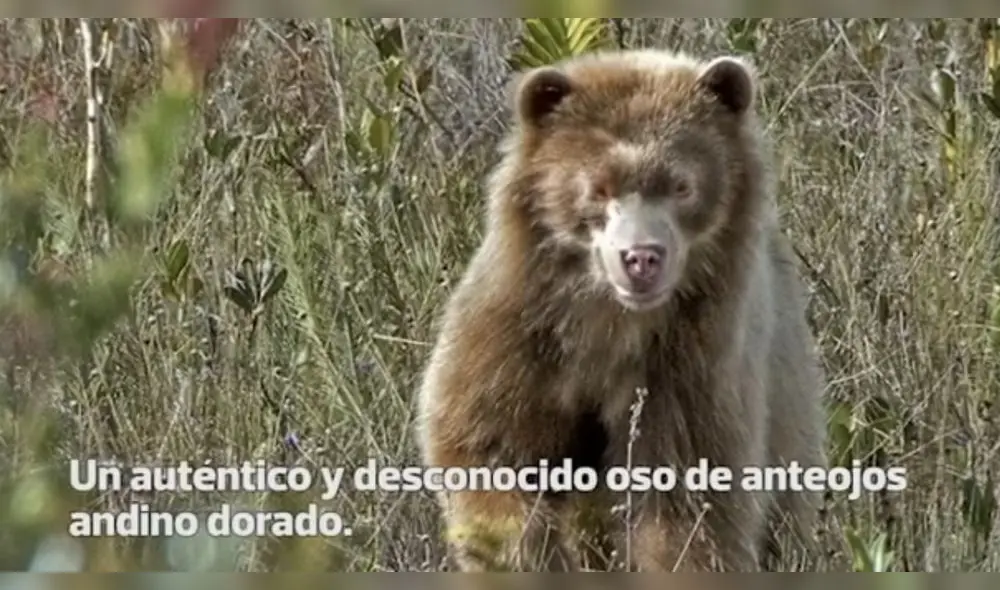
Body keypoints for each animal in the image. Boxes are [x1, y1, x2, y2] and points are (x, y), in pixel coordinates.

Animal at [413, 47, 828, 572]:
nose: (641, 257)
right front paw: (536, 558)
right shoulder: (518, 336)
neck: (609, 323)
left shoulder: (691, 367)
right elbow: (489, 449)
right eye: (599, 187)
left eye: (681, 186)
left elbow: (685, 503)